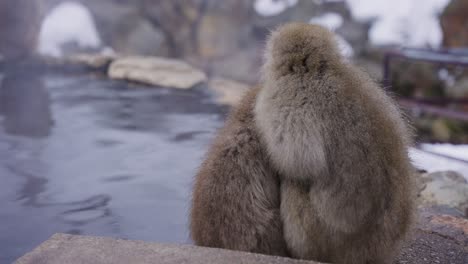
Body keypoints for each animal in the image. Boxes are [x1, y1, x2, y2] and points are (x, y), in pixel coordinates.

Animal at [189, 23, 414, 264]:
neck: (324, 70)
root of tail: (377, 250)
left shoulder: (286, 93)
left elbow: (299, 162)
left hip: (317, 236)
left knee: (292, 181)